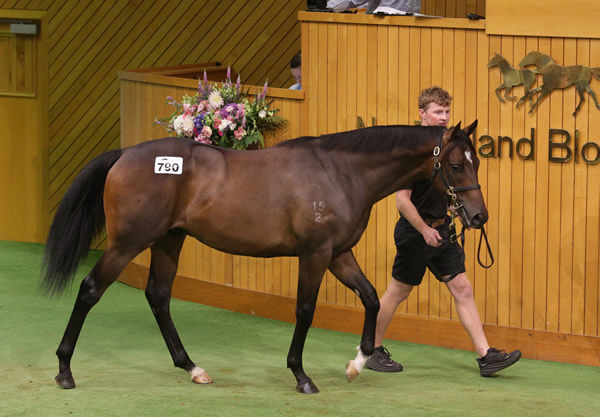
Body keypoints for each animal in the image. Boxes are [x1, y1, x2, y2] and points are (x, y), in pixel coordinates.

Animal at [42, 120, 486, 394]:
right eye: (455, 164)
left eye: (476, 161)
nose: (478, 216)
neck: (340, 172)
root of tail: (124, 154)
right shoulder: (315, 254)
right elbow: (305, 310)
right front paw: (301, 375)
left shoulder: (339, 254)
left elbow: (372, 298)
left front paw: (357, 363)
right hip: (128, 242)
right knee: (91, 289)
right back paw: (64, 370)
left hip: (169, 240)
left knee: (158, 296)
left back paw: (192, 368)